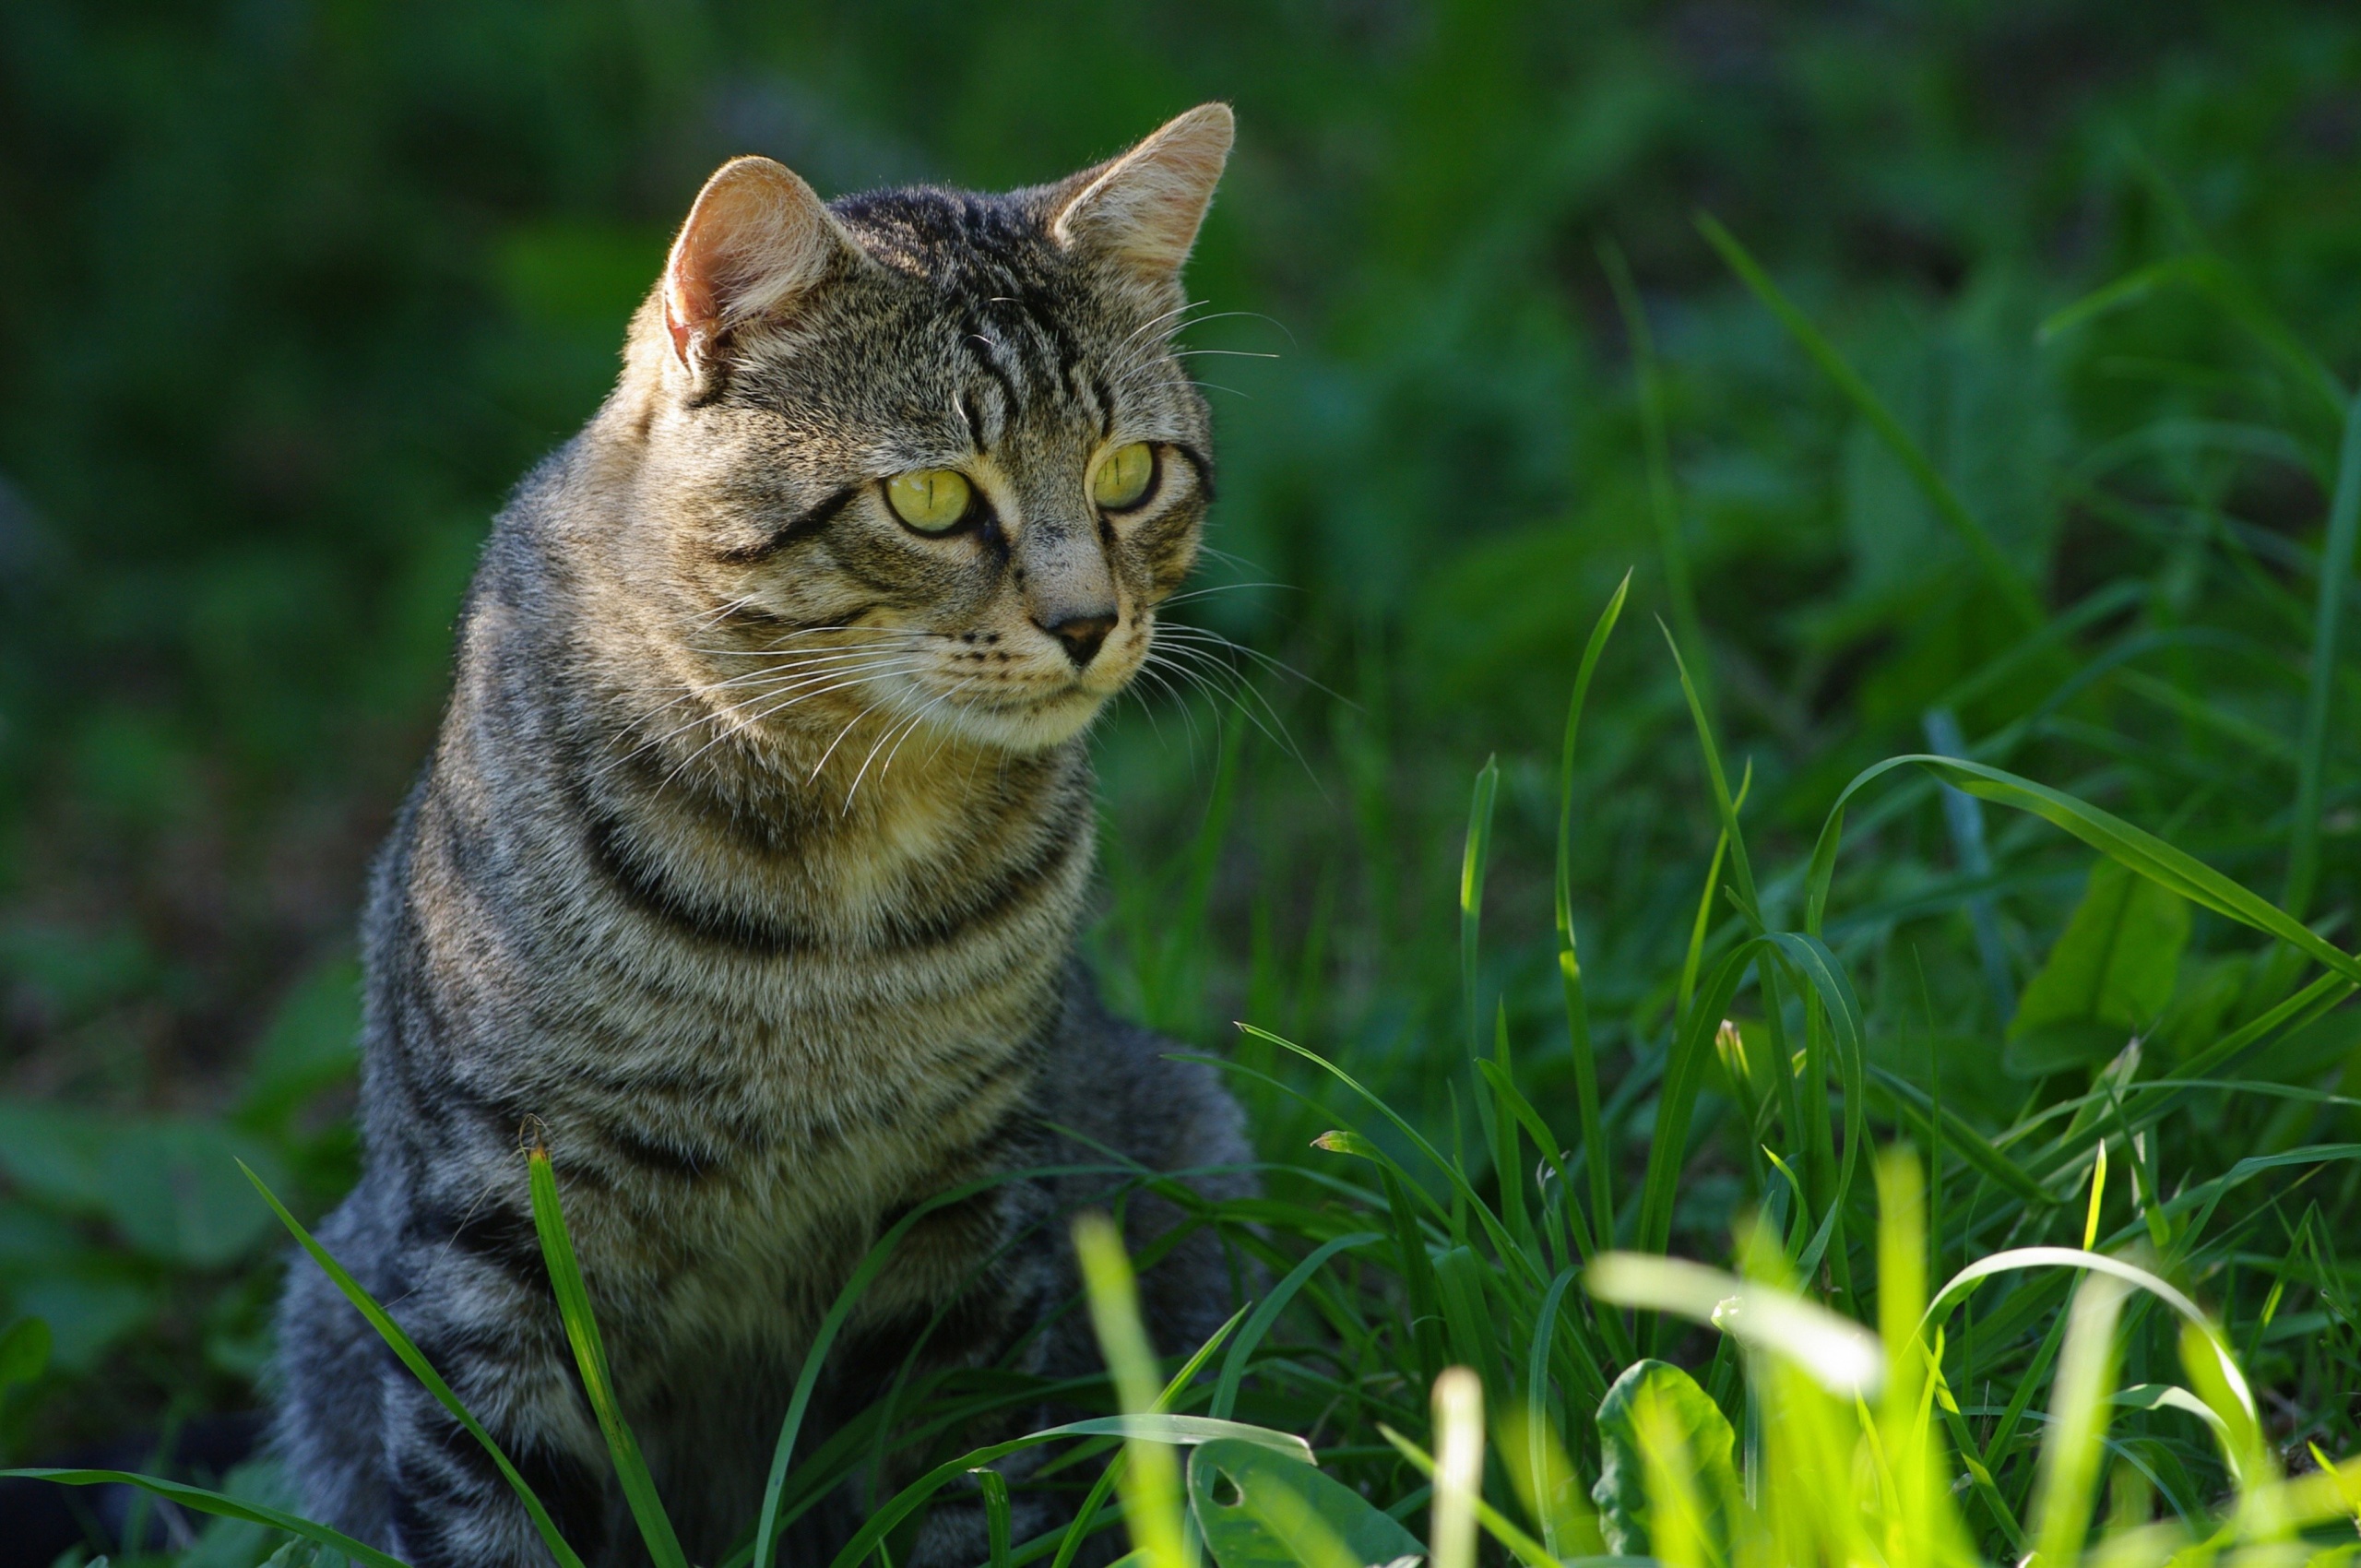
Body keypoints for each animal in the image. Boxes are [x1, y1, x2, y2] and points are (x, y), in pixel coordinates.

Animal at [271, 103, 1255, 1558]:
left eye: (1130, 473)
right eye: (932, 500)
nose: (1088, 623)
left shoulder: (960, 1205)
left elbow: (953, 1478)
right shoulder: (493, 1229)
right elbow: (492, 1501)